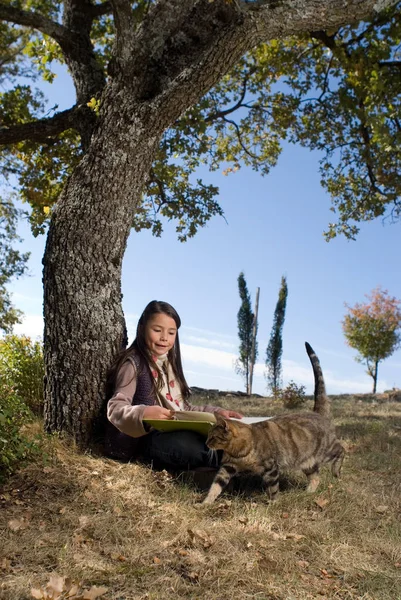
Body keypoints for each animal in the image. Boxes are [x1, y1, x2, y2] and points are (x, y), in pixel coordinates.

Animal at [203, 342, 344, 502]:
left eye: (212, 437)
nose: (206, 443)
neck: (239, 452)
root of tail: (317, 413)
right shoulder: (228, 467)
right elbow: (215, 486)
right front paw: (205, 502)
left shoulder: (271, 468)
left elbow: (273, 489)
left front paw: (273, 503)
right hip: (307, 462)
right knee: (316, 477)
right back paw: (308, 493)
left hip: (326, 451)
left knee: (341, 450)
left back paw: (336, 471)